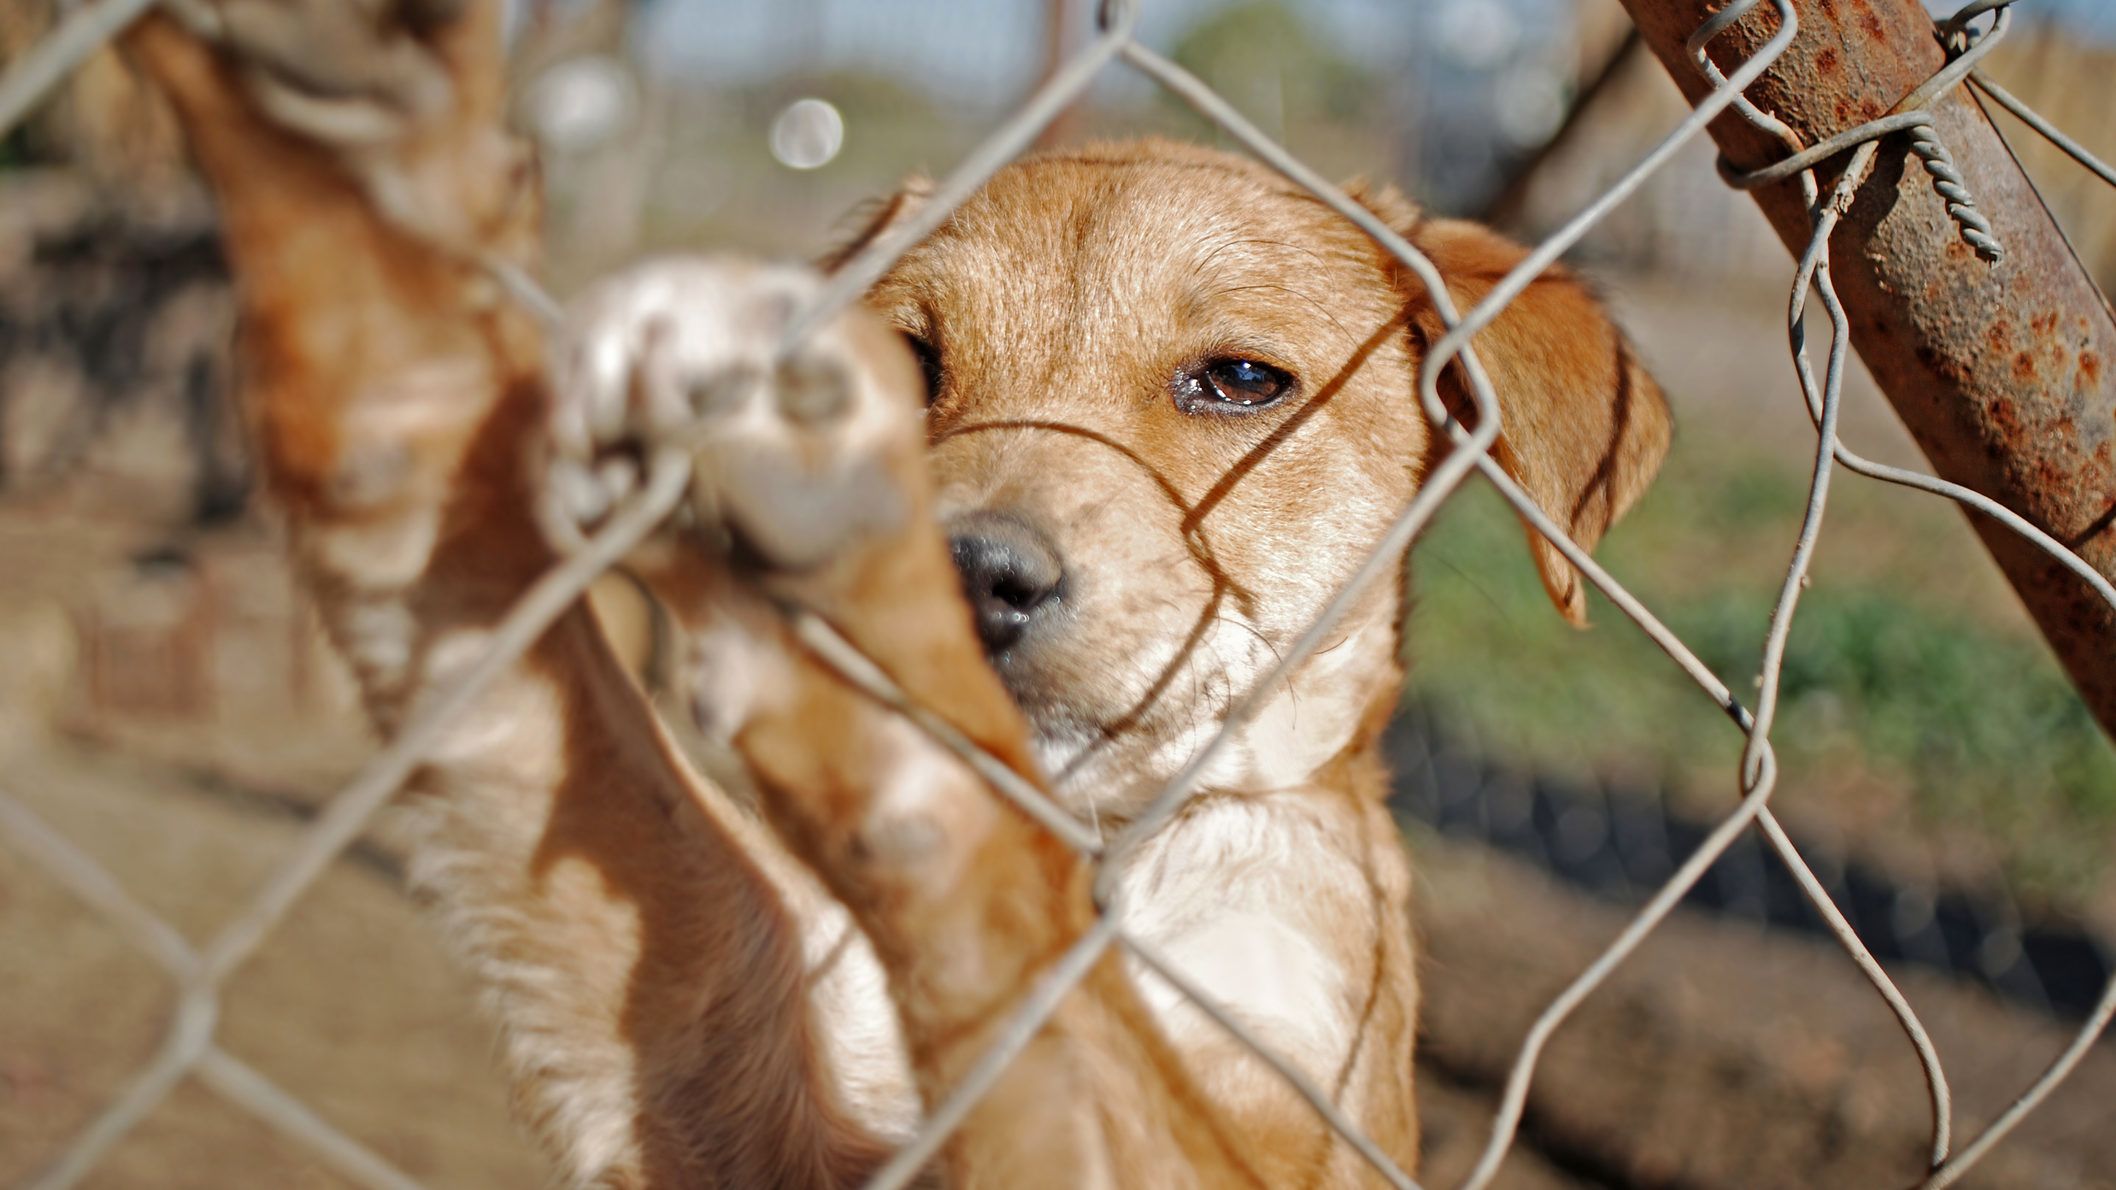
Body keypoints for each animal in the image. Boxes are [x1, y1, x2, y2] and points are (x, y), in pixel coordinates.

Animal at [132, 4, 1667, 1177]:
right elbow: (546, 706)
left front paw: (883, 645)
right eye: (909, 360)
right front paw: (358, 227)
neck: (1116, 856)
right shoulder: (723, 1065)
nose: (969, 571)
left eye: (1240, 380)